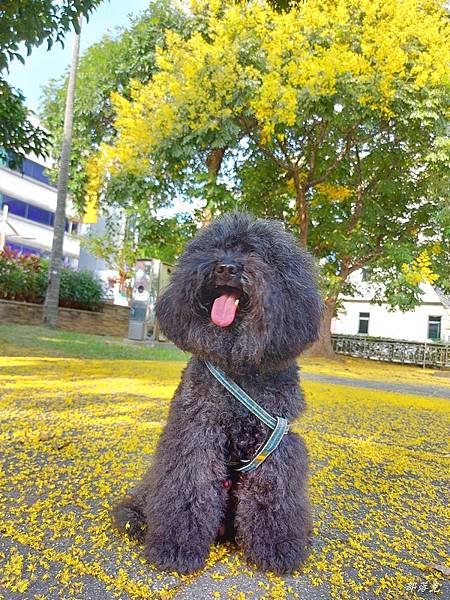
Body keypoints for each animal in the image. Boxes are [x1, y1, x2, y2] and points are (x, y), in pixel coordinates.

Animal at [112, 213, 324, 576]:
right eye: (214, 248)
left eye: (255, 252)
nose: (225, 267)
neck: (238, 361)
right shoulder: (196, 433)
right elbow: (189, 487)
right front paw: (176, 546)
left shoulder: (277, 441)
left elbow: (274, 493)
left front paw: (279, 546)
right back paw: (137, 520)